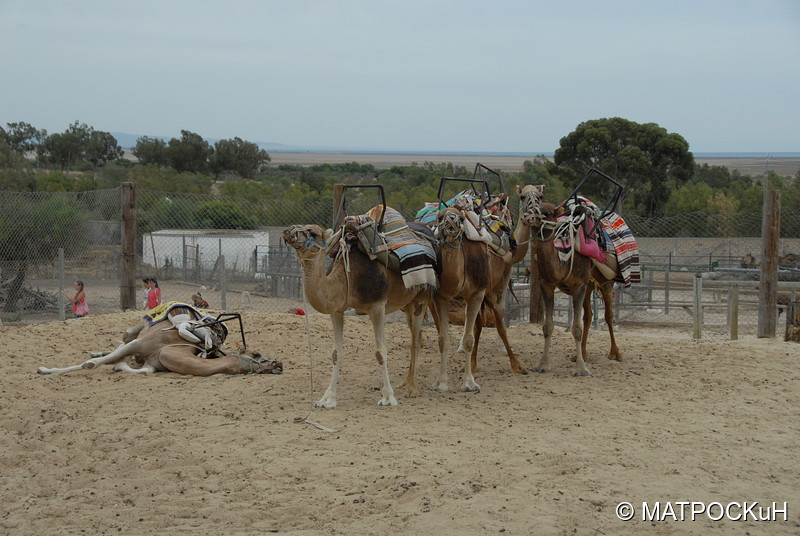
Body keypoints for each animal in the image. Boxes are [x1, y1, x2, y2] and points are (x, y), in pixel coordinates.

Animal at [37, 304, 282, 374]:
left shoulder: (152, 364)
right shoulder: (140, 344)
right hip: (136, 330)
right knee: (124, 338)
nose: (279, 363)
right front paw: (44, 369)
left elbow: (141, 371)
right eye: (256, 353)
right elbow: (92, 364)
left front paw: (119, 366)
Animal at [282, 218, 432, 406]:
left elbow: (380, 352)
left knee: (416, 340)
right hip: (408, 303)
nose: (288, 231)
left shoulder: (377, 307)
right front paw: (327, 398)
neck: (349, 278)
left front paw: (388, 397)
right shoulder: (337, 310)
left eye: (314, 232)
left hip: (422, 297)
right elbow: (336, 353)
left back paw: (412, 388)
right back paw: (405, 383)